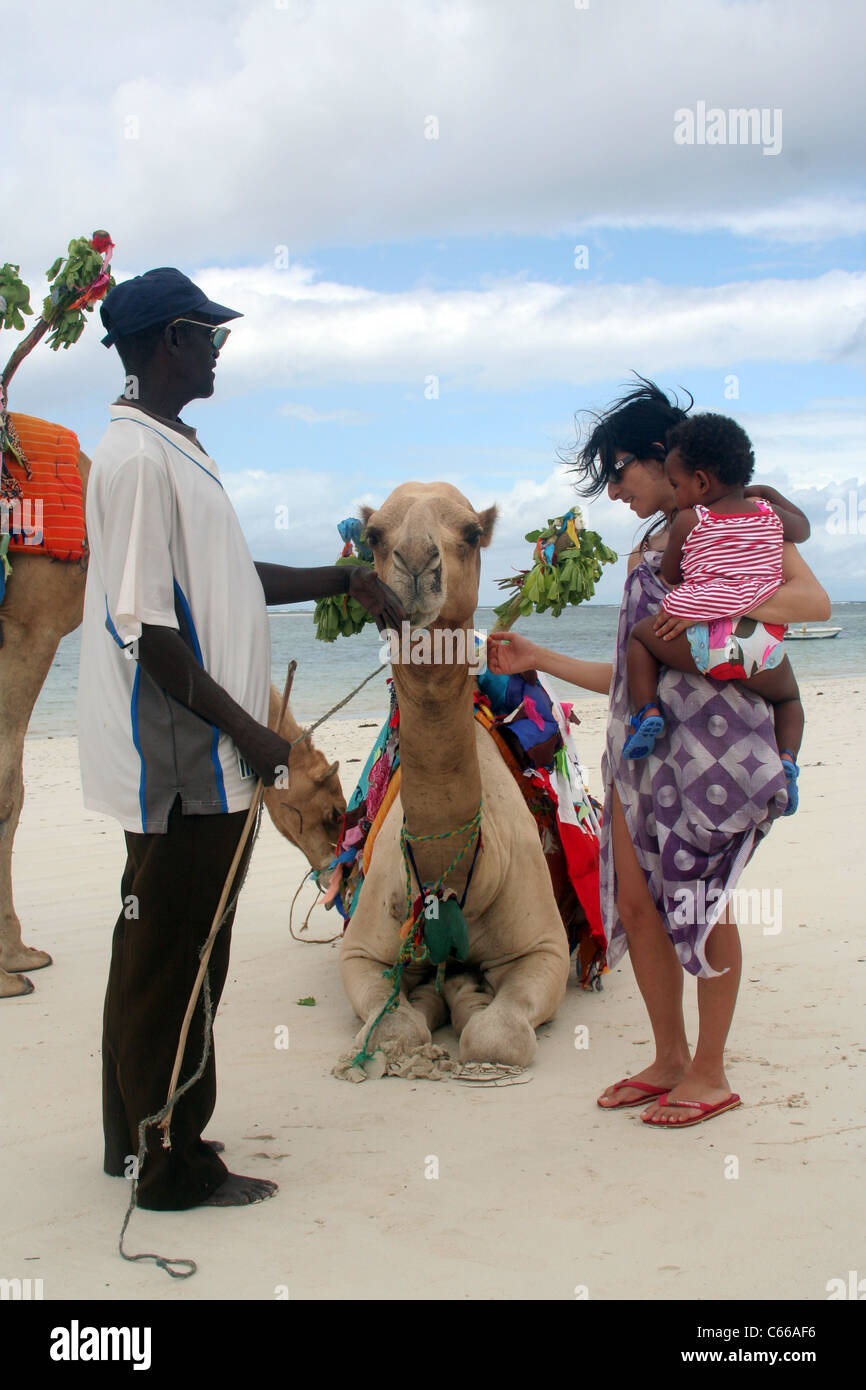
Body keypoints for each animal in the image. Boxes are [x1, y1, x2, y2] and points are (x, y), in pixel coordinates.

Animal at [340, 483, 575, 1067]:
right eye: (374, 535)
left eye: (470, 533)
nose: (417, 562)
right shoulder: (360, 952)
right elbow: (392, 1029)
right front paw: (426, 1006)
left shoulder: (546, 949)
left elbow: (498, 1036)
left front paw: (471, 1010)